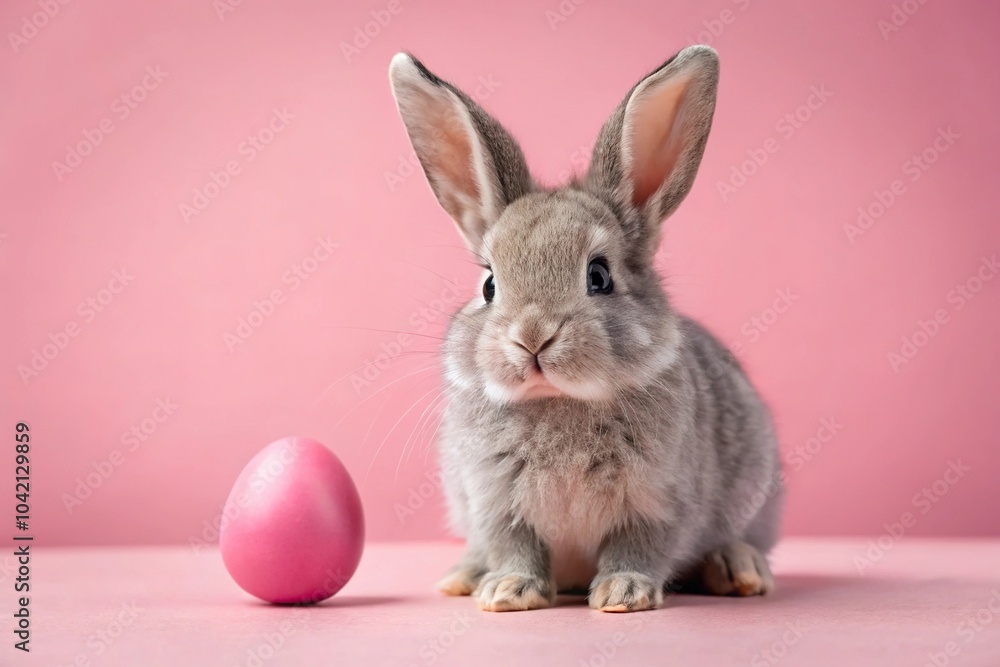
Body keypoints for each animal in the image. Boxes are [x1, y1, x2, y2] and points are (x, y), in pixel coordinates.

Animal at [388, 45, 783, 613]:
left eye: (599, 276)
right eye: (489, 284)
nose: (532, 336)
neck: (560, 401)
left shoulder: (658, 501)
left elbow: (638, 546)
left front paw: (623, 593)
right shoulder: (495, 502)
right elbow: (516, 546)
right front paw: (509, 592)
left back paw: (739, 569)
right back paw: (463, 576)